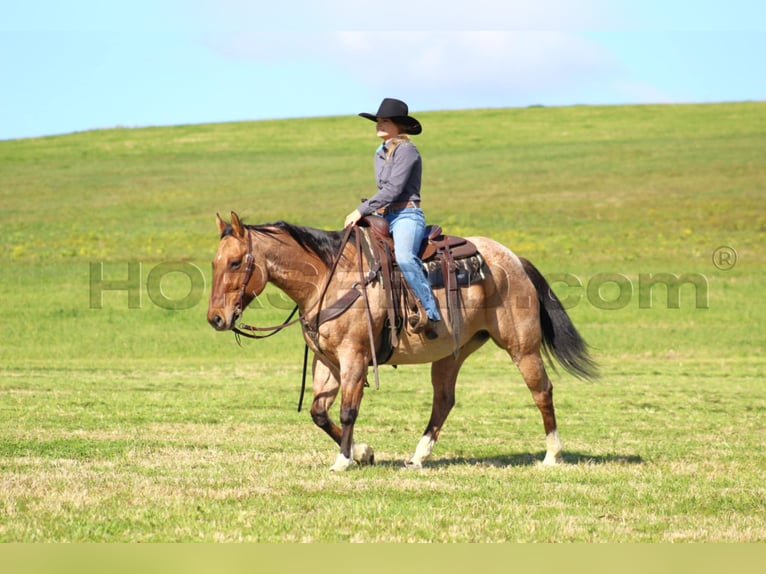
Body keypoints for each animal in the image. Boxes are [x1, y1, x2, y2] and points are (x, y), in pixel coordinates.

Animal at [207, 212, 596, 472]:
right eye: (214, 263)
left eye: (236, 262)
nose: (216, 319)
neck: (329, 278)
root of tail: (513, 259)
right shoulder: (326, 361)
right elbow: (319, 412)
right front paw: (363, 452)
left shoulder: (354, 357)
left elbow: (348, 410)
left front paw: (343, 460)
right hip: (451, 353)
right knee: (444, 401)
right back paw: (418, 457)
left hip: (522, 347)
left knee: (541, 390)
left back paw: (551, 454)